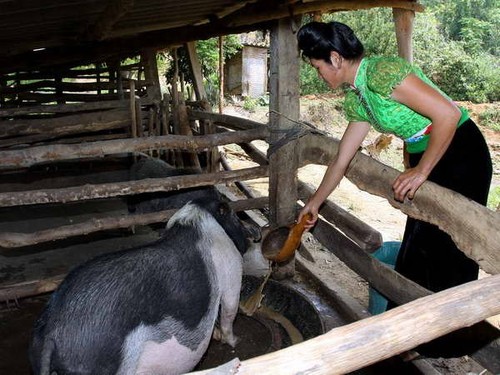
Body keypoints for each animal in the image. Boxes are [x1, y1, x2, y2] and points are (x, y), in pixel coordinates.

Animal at [30, 198, 258, 374]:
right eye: (235, 216)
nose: (254, 233)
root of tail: (52, 332)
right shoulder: (231, 268)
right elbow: (229, 310)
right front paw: (234, 341)